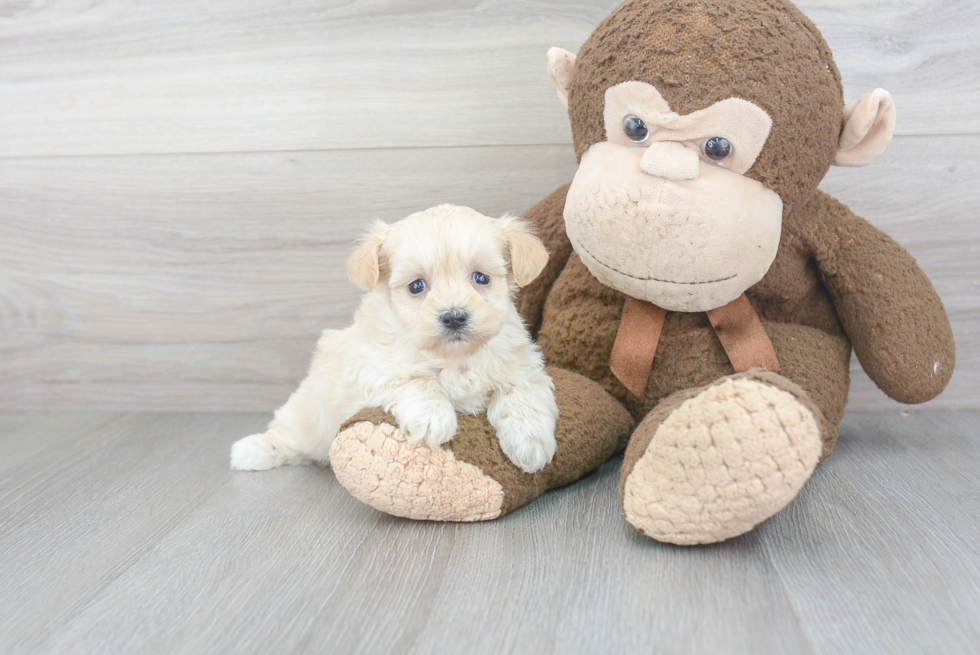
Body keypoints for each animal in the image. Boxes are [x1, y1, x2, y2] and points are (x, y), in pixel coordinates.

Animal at [229, 204, 560, 472]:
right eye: (416, 286)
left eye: (481, 278)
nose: (454, 317)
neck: (453, 357)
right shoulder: (375, 367)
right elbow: (418, 381)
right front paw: (433, 419)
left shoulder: (523, 368)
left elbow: (522, 397)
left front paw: (531, 444)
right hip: (308, 417)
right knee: (286, 436)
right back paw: (250, 451)